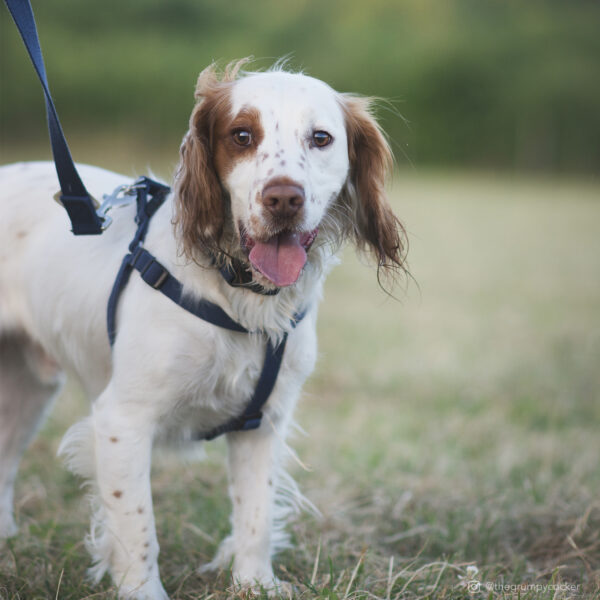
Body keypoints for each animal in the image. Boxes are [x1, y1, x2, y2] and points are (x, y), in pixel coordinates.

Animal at [0, 59, 408, 596]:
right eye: (242, 135)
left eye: (321, 138)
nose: (283, 198)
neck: (240, 295)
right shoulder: (121, 421)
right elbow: (137, 528)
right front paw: (143, 591)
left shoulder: (264, 423)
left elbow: (256, 517)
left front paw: (254, 583)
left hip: (28, 391)